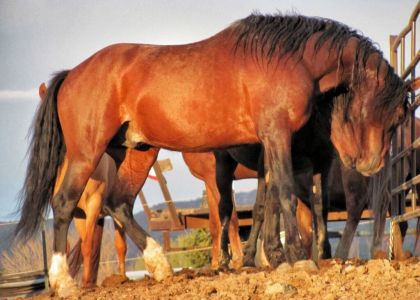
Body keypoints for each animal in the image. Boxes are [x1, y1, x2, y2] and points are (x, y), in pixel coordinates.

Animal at [15, 13, 406, 296]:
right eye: (393, 114)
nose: (370, 163)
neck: (285, 59)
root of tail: (72, 74)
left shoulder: (269, 143)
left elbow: (268, 201)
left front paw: (274, 257)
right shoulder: (277, 136)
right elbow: (281, 192)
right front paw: (297, 258)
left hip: (135, 152)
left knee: (118, 203)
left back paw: (159, 265)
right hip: (87, 153)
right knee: (64, 203)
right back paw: (64, 282)